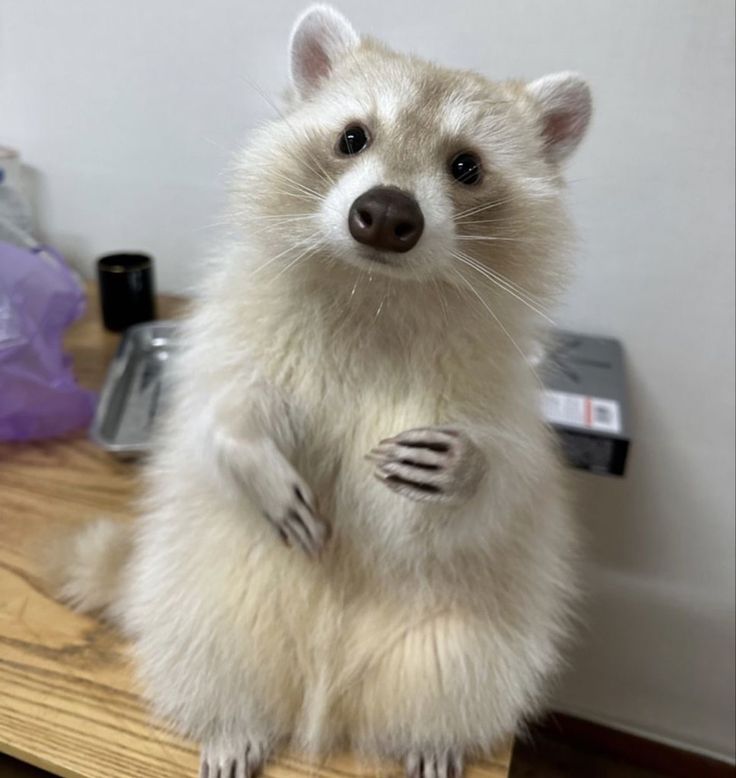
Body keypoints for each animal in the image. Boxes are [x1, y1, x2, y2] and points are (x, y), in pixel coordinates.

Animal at [50, 6, 592, 776]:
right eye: (352, 137)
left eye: (466, 166)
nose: (387, 213)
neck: (375, 291)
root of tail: (324, 705)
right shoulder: (235, 338)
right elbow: (213, 418)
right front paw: (247, 452)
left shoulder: (498, 391)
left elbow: (508, 485)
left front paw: (467, 469)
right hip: (209, 604)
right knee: (213, 648)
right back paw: (233, 720)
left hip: (460, 639)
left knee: (457, 667)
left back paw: (431, 739)